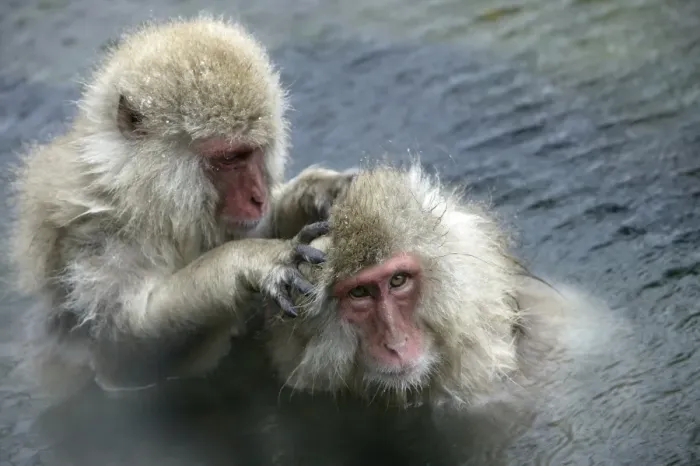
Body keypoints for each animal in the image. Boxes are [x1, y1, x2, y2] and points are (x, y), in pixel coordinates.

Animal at [5, 16, 355, 401]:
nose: (258, 197)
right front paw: (248, 260)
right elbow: (123, 353)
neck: (142, 200)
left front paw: (316, 193)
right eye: (230, 158)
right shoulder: (94, 237)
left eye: (253, 151)